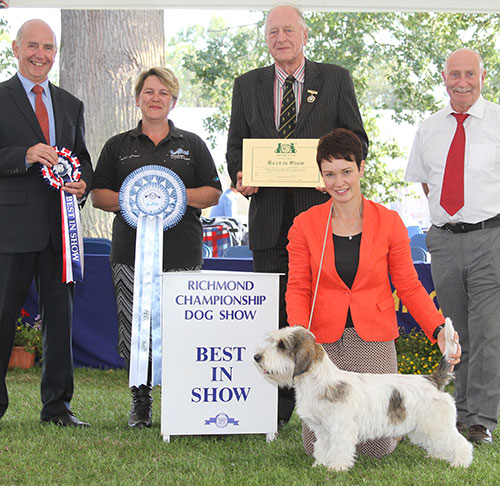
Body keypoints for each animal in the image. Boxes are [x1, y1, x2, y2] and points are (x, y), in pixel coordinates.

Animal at [254, 318, 472, 470]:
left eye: (282, 346)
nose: (257, 357)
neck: (317, 381)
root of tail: (433, 380)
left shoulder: (340, 428)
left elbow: (339, 448)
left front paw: (336, 468)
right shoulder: (323, 430)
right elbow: (323, 448)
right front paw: (321, 464)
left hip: (438, 424)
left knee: (461, 443)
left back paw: (461, 462)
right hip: (423, 427)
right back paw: (438, 457)